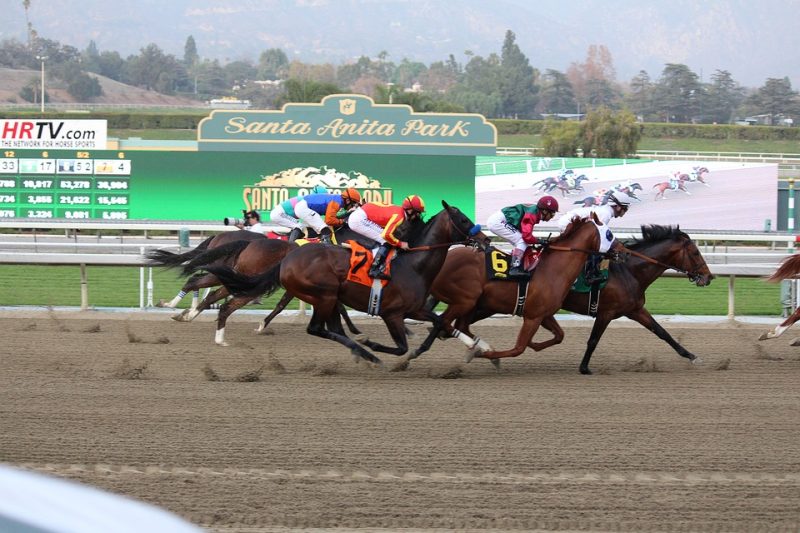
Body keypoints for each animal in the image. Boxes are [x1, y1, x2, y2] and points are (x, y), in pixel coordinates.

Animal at [203, 202, 490, 364]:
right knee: (316, 328)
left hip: (327, 298)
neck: (413, 264)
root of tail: (287, 258)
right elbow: (401, 348)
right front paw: (378, 347)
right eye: (464, 220)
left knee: (331, 329)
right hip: (325, 295)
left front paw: (476, 345)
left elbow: (441, 322)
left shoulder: (415, 309)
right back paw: (366, 352)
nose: (485, 240)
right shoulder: (392, 313)